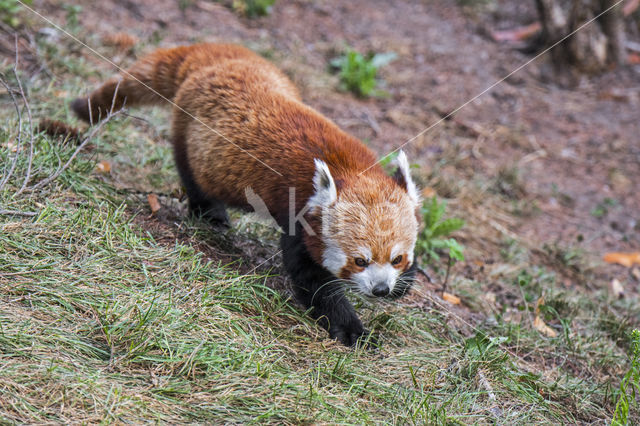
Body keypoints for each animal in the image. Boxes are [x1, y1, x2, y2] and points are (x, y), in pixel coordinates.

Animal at [72, 42, 420, 346]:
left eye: (397, 258)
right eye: (360, 261)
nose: (380, 289)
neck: (347, 168)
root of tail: (212, 58)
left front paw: (404, 283)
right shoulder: (298, 214)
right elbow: (312, 280)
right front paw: (350, 329)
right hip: (190, 136)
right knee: (193, 176)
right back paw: (211, 214)